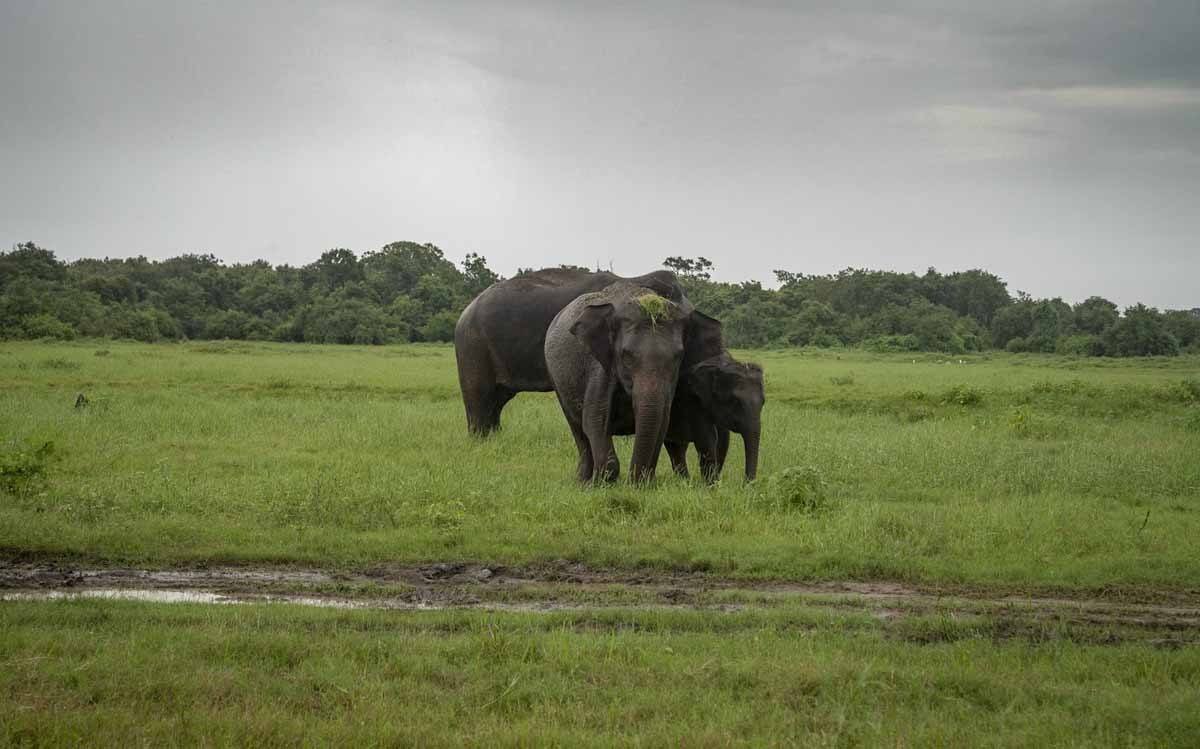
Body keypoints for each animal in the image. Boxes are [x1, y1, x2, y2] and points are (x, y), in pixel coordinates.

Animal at [544, 280, 720, 484]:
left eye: (678, 357)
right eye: (626, 355)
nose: (632, 482)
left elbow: (662, 421)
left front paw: (645, 483)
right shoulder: (600, 367)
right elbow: (595, 420)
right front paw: (601, 483)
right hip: (556, 377)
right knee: (578, 429)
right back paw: (583, 482)